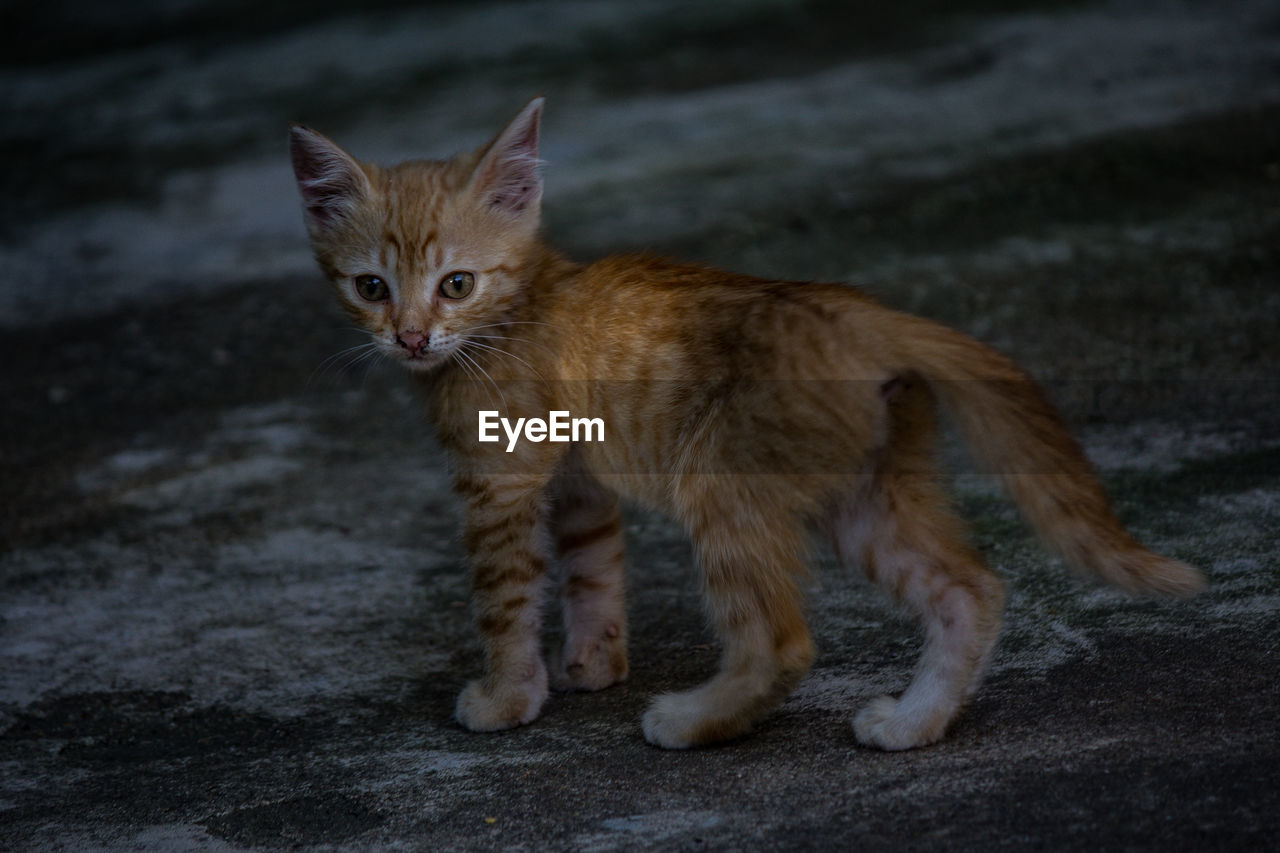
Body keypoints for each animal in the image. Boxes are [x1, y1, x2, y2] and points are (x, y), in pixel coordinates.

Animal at [290, 99, 1198, 747]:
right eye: (371, 287)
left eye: (456, 284)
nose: (410, 336)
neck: (515, 310)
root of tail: (855, 310)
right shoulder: (577, 478)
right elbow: (591, 568)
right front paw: (593, 660)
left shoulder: (498, 486)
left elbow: (505, 599)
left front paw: (509, 695)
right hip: (864, 493)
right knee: (968, 589)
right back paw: (913, 722)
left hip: (720, 483)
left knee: (781, 641)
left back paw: (694, 720)